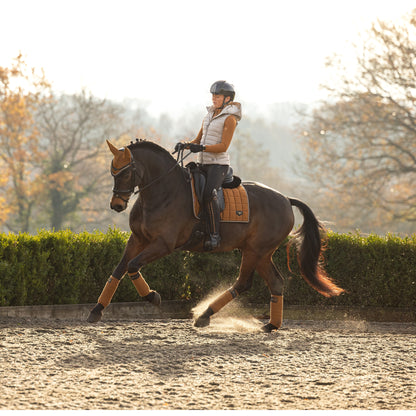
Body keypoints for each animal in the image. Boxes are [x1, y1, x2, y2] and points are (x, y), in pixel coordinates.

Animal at [86, 140, 342, 332]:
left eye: (126, 172)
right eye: (112, 171)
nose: (117, 205)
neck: (162, 193)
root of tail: (286, 199)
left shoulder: (163, 244)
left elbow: (132, 265)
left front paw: (153, 297)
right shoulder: (138, 239)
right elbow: (119, 269)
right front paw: (96, 310)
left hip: (255, 250)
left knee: (244, 282)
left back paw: (205, 315)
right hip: (260, 253)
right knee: (275, 282)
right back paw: (270, 325)